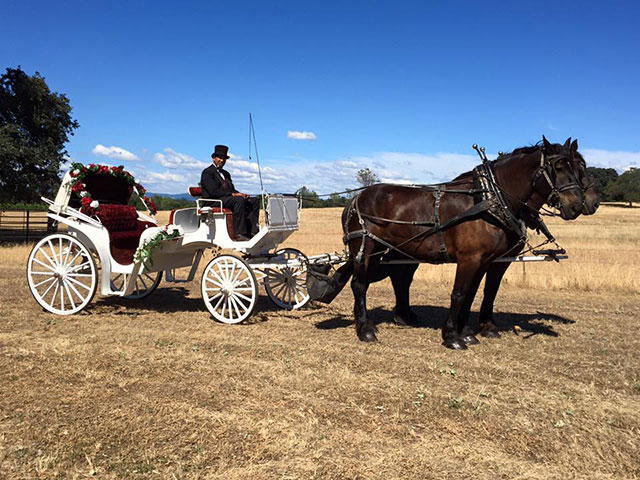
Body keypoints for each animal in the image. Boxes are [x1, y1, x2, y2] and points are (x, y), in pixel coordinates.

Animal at [340, 137, 592, 350]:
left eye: (578, 168)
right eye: (559, 167)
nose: (578, 205)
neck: (489, 200)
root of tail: (356, 199)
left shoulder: (485, 260)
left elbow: (473, 293)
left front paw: (468, 332)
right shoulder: (469, 259)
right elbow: (459, 294)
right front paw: (452, 336)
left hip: (386, 250)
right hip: (366, 249)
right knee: (360, 284)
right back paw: (365, 329)